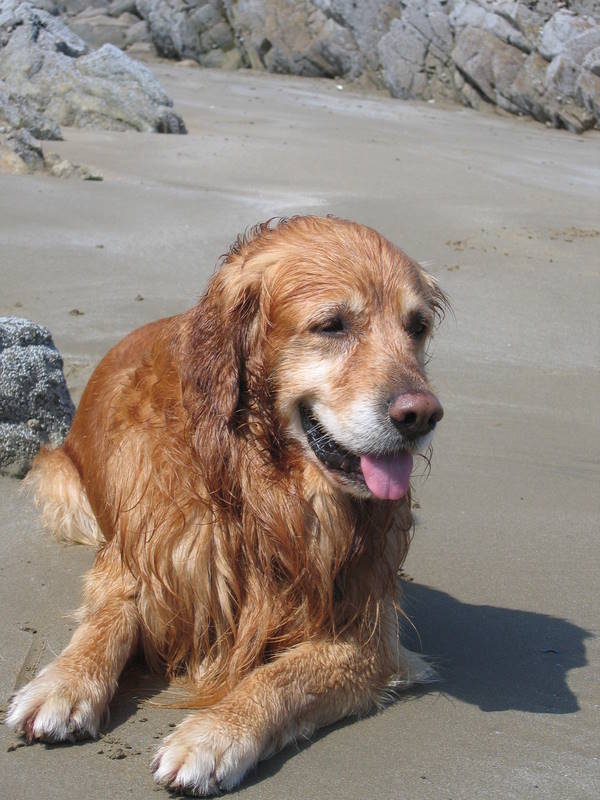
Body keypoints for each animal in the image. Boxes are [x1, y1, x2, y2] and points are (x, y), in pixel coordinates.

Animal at [7, 215, 446, 795]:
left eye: (417, 327)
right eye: (332, 325)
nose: (421, 414)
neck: (260, 490)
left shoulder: (370, 635)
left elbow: (280, 675)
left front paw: (214, 734)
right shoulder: (137, 560)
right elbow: (107, 619)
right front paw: (63, 682)